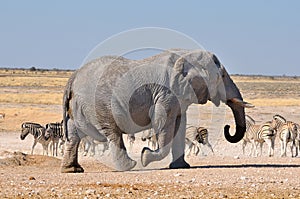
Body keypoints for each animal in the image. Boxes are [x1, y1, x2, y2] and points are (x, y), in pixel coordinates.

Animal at [61, 48, 253, 173]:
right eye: (222, 76)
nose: (227, 128)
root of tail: (73, 78)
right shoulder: (166, 93)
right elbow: (163, 123)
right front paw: (145, 157)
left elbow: (179, 124)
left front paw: (181, 167)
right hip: (99, 105)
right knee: (112, 132)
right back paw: (130, 166)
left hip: (79, 107)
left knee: (74, 135)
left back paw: (72, 170)